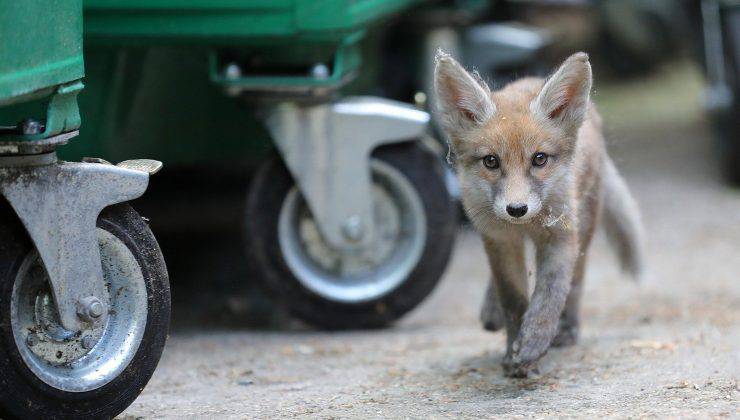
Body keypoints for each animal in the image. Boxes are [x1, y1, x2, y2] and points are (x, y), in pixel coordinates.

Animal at [434, 50, 640, 376]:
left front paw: (534, 342)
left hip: (584, 226)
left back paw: (567, 329)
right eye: (491, 161)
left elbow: (550, 293)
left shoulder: (561, 237)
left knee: (576, 282)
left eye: (539, 159)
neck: (527, 225)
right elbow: (513, 299)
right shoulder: (499, 239)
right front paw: (513, 350)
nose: (517, 209)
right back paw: (491, 310)